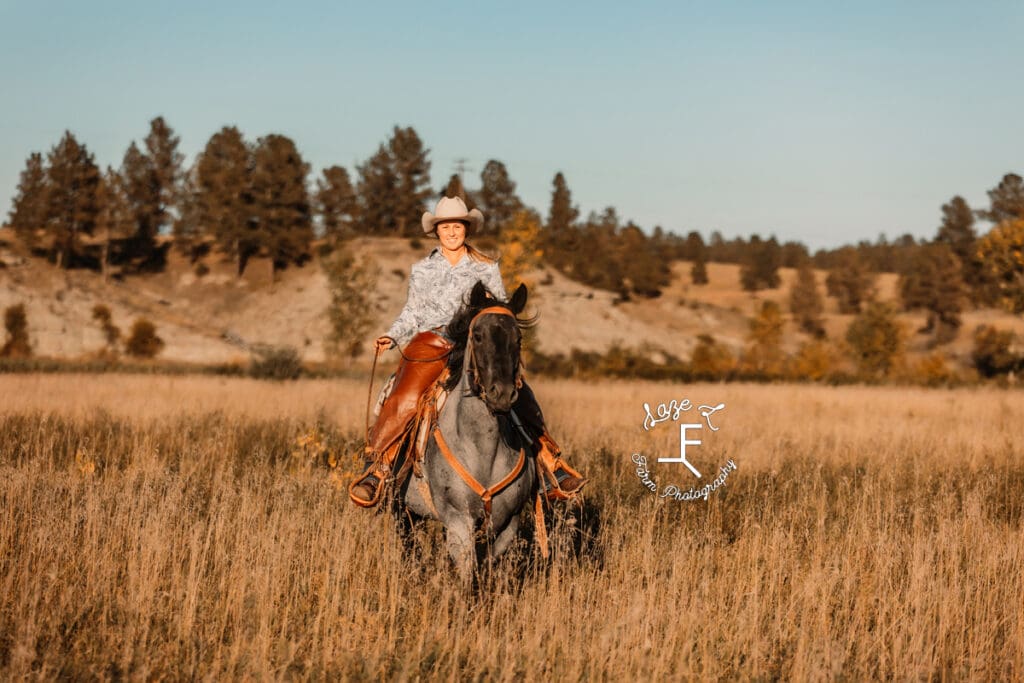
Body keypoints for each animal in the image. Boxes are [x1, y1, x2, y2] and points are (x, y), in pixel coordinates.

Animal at [391, 280, 536, 585]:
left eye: (518, 338)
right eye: (478, 336)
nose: (501, 394)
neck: (483, 450)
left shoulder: (508, 523)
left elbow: (486, 570)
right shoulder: (459, 521)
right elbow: (467, 577)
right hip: (402, 509)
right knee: (409, 547)